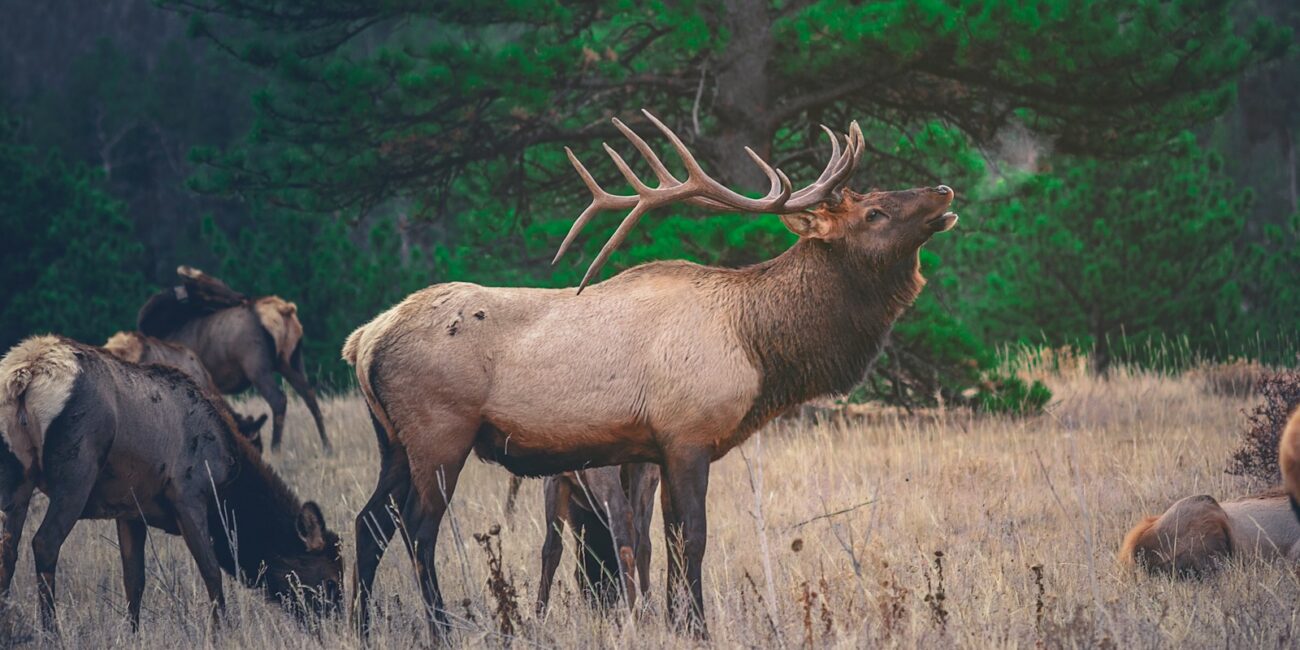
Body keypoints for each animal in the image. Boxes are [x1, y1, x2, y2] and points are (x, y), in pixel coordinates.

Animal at [136, 266, 327, 449]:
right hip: (292, 359)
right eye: (207, 289)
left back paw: (276, 449)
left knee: (279, 399)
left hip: (256, 364)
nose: (241, 296)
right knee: (310, 395)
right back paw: (327, 446)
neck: (164, 327)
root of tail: (285, 310)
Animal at [535, 462, 660, 613]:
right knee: (641, 543)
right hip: (647, 478)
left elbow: (551, 549)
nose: (602, 605)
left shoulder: (554, 479)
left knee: (623, 521)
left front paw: (539, 614)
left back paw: (631, 614)